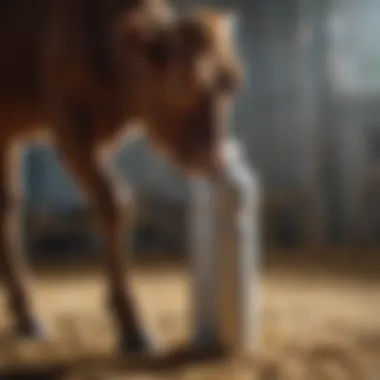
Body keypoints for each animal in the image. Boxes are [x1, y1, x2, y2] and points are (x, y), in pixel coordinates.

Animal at [0, 0, 242, 352]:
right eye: (184, 82)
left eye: (232, 83)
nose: (215, 159)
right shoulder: (69, 124)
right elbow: (113, 204)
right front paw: (132, 325)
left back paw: (26, 317)